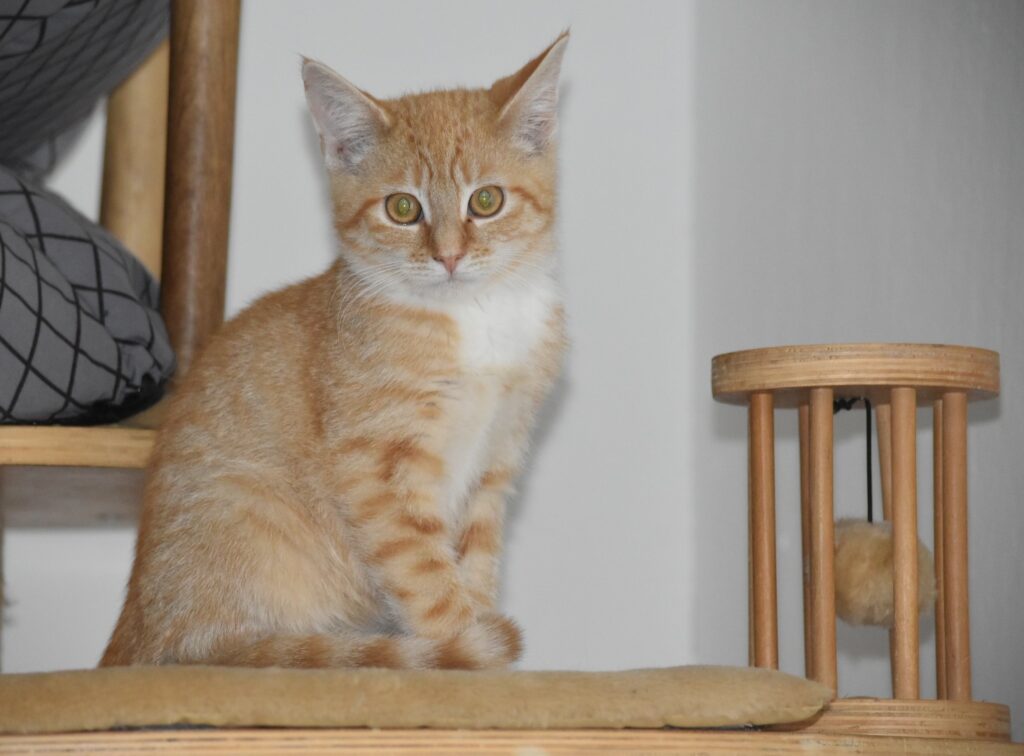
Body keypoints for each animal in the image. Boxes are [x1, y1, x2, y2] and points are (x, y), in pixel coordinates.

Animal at [98, 35, 569, 667]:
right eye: (402, 208)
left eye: (487, 200)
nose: (448, 256)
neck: (474, 318)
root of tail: (138, 634)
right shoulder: (374, 468)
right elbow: (428, 579)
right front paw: (469, 651)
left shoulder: (496, 461)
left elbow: (475, 562)